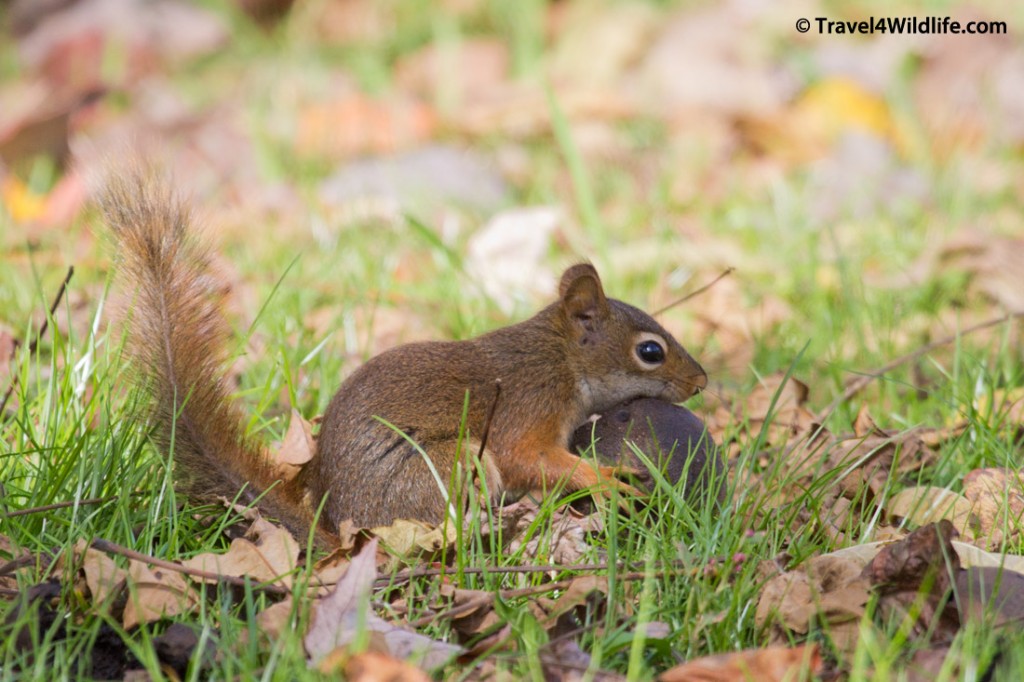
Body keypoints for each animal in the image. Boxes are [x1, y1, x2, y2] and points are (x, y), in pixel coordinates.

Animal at [103, 169, 708, 540]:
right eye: (650, 351)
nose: (700, 382)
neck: (561, 360)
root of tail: (337, 527)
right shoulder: (527, 407)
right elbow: (529, 458)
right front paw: (608, 480)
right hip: (449, 464)